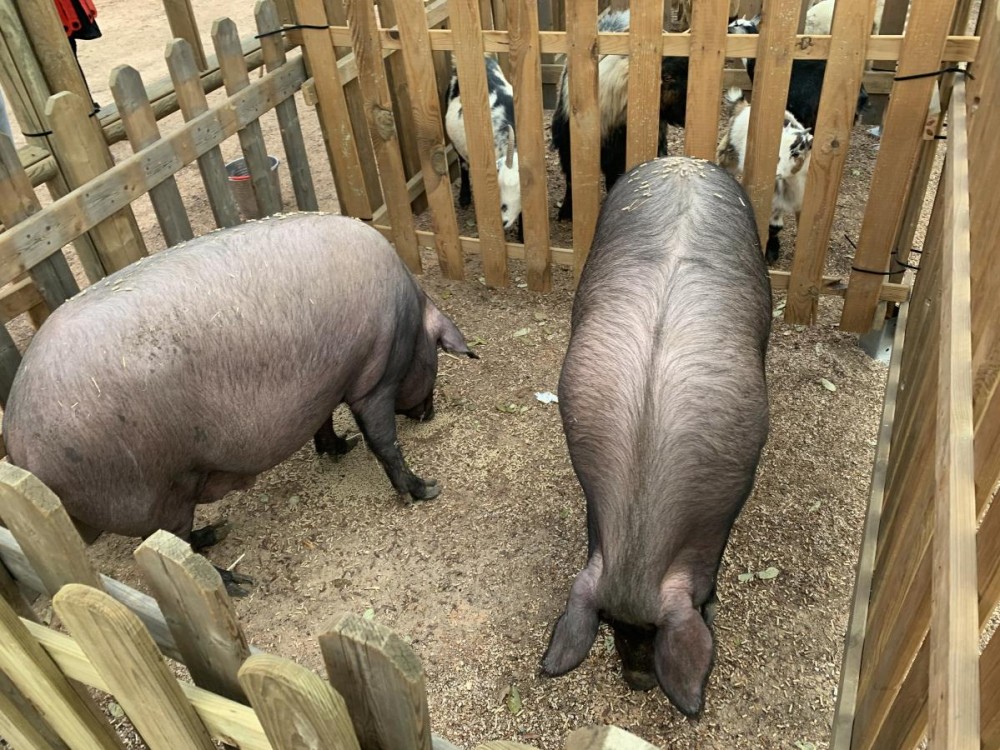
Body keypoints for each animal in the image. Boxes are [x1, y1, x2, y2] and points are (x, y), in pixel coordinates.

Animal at [2, 212, 477, 591]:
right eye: (437, 356)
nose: (429, 412)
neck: (410, 318)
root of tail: (19, 441)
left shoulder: (324, 387)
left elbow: (324, 424)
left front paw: (342, 447)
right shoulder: (373, 381)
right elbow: (385, 444)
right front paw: (427, 490)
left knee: (169, 541)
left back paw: (219, 533)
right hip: (161, 488)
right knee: (171, 548)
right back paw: (237, 582)